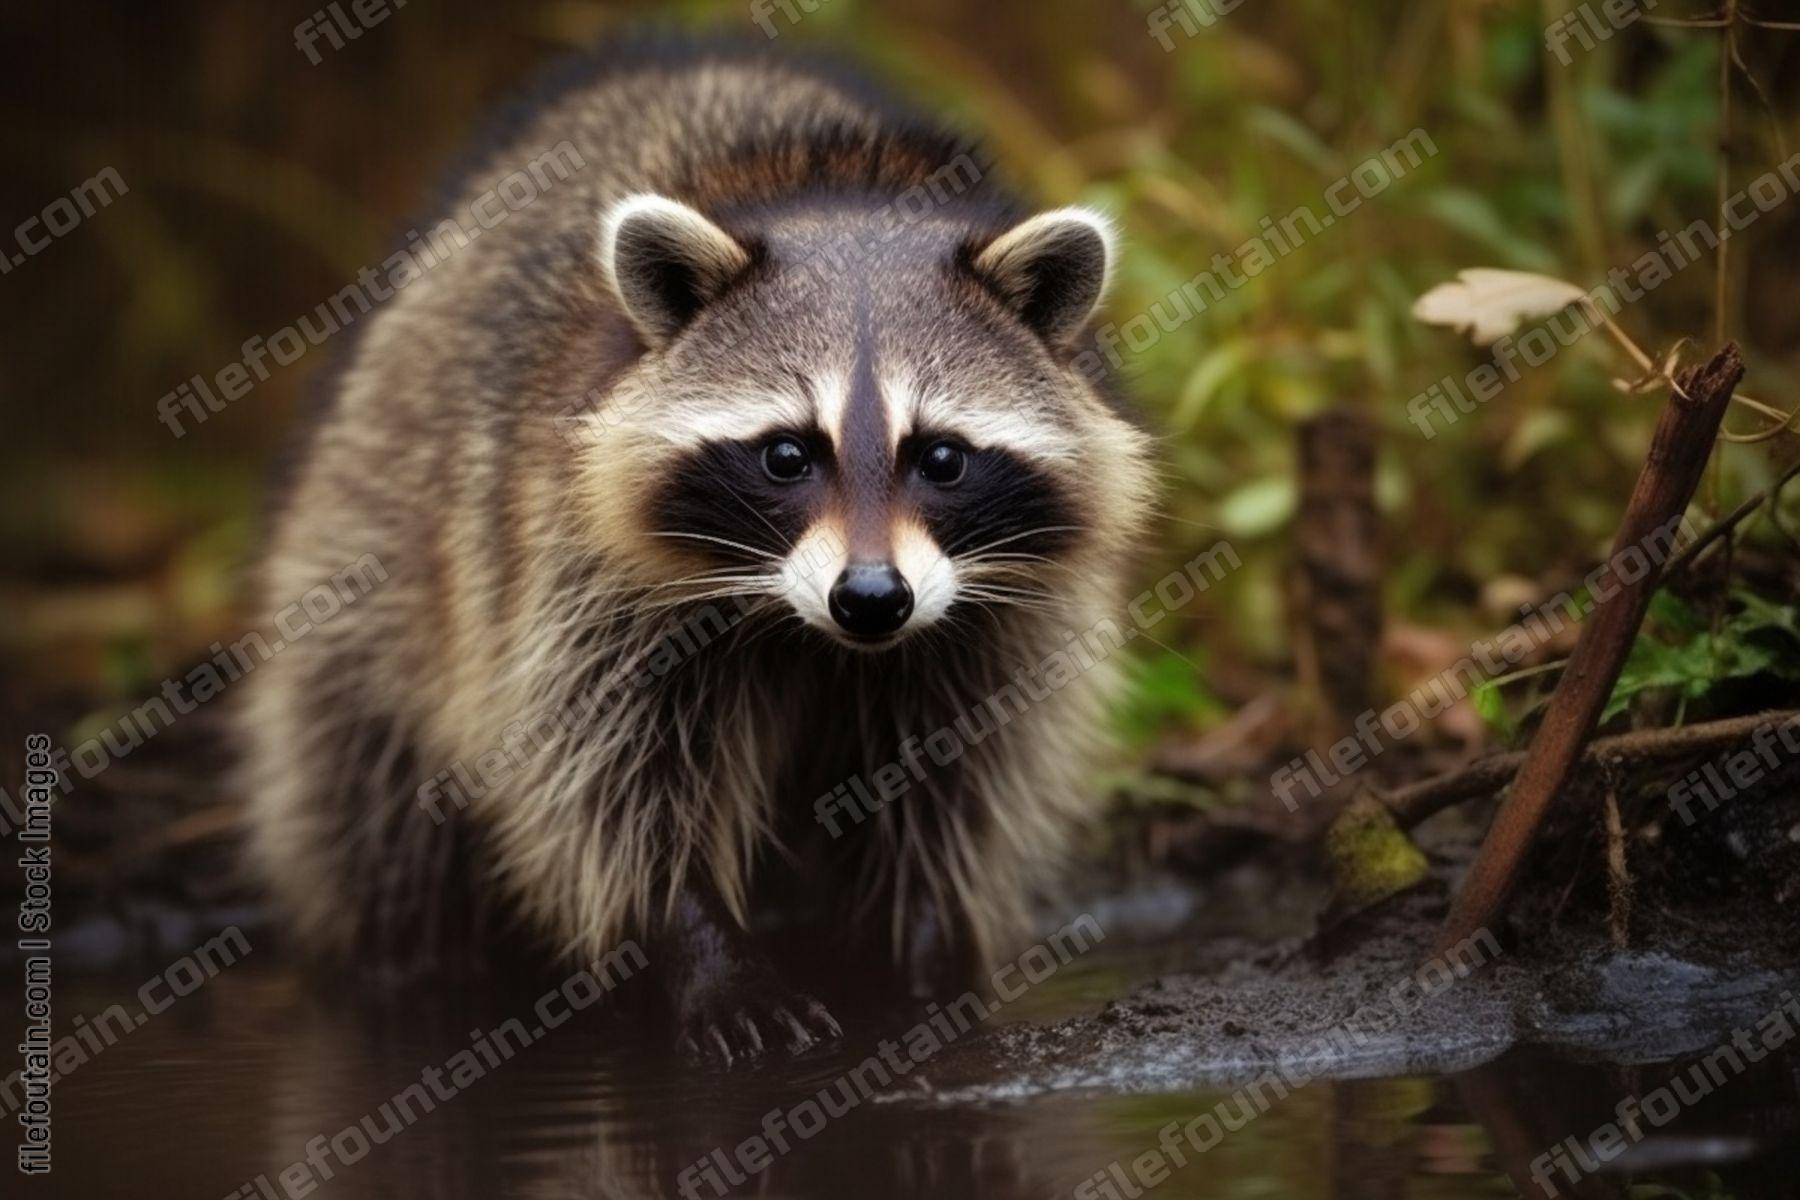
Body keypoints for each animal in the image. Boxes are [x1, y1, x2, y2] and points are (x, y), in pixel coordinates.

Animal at [241, 37, 1155, 1063]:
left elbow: (956, 782)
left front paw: (919, 943)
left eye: (943, 457)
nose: (871, 598)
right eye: (788, 454)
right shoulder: (577, 572)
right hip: (367, 557)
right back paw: (414, 972)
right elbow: (610, 783)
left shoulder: (997, 621)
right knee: (374, 815)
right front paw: (698, 944)